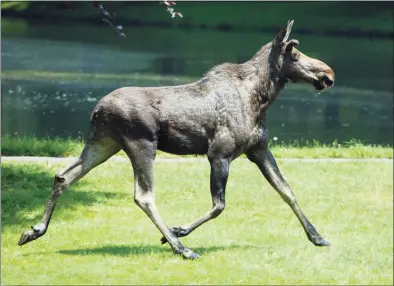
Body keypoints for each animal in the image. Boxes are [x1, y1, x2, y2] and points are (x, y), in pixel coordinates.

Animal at [17, 20, 332, 260]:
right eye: (294, 54)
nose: (327, 73)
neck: (261, 99)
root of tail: (96, 110)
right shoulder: (219, 153)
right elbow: (219, 205)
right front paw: (179, 231)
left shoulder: (259, 149)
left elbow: (287, 191)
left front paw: (317, 236)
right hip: (141, 143)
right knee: (143, 195)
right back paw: (181, 247)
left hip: (104, 143)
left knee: (64, 176)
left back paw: (34, 230)